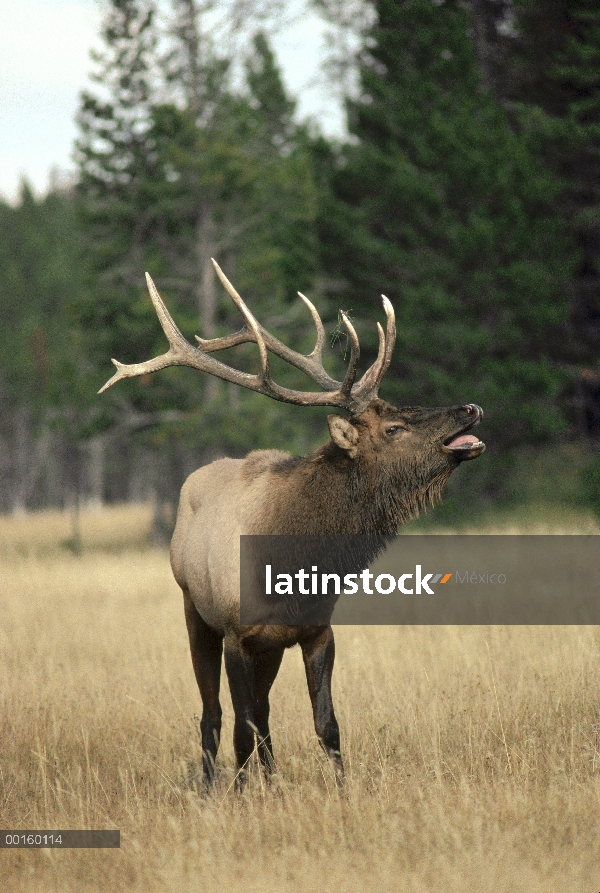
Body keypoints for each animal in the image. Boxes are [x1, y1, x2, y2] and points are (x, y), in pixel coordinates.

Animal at [98, 264, 482, 788]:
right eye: (394, 428)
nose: (470, 408)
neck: (292, 562)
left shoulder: (316, 630)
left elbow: (326, 724)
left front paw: (341, 790)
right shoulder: (237, 634)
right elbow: (240, 728)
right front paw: (241, 795)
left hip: (271, 647)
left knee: (262, 712)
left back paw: (271, 778)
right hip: (195, 612)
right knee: (214, 714)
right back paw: (212, 784)